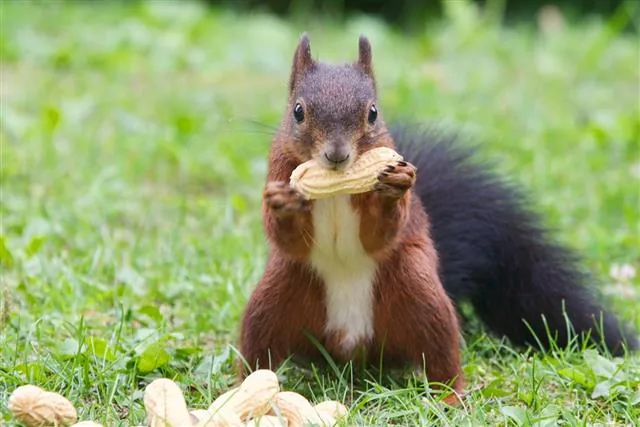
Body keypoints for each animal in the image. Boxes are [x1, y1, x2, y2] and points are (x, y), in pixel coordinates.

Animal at [239, 33, 638, 401]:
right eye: (298, 111)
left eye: (372, 112)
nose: (336, 155)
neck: (336, 188)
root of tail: (352, 350)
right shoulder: (279, 168)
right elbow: (288, 237)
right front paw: (282, 203)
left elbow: (381, 233)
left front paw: (393, 189)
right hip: (276, 298)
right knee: (257, 349)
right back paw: (244, 389)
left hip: (420, 295)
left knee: (441, 354)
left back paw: (450, 397)